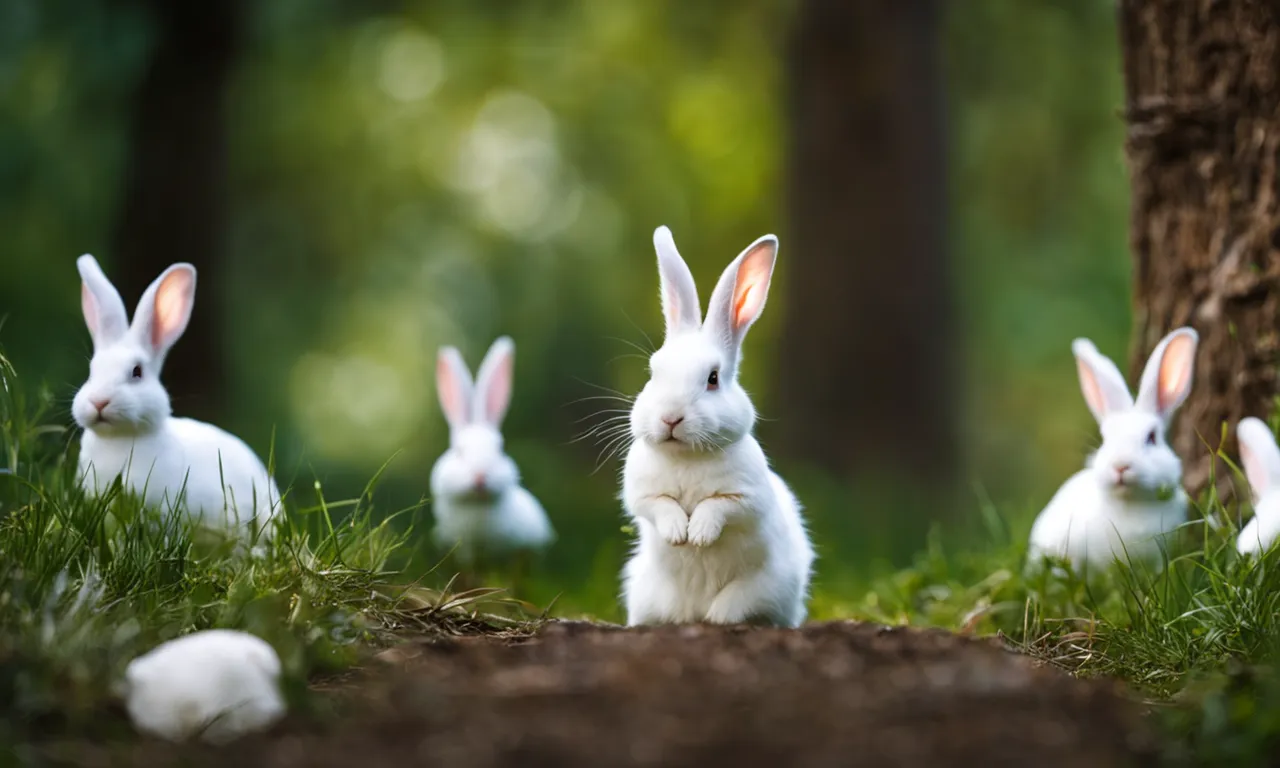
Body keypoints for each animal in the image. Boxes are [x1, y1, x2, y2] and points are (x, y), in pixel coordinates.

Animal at [620, 225, 815, 628]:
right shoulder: (641, 495)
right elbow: (660, 505)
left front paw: (699, 535)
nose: (671, 417)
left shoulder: (747, 496)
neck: (687, 457)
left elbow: (718, 506)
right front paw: (678, 533)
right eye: (653, 371)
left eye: (712, 378)